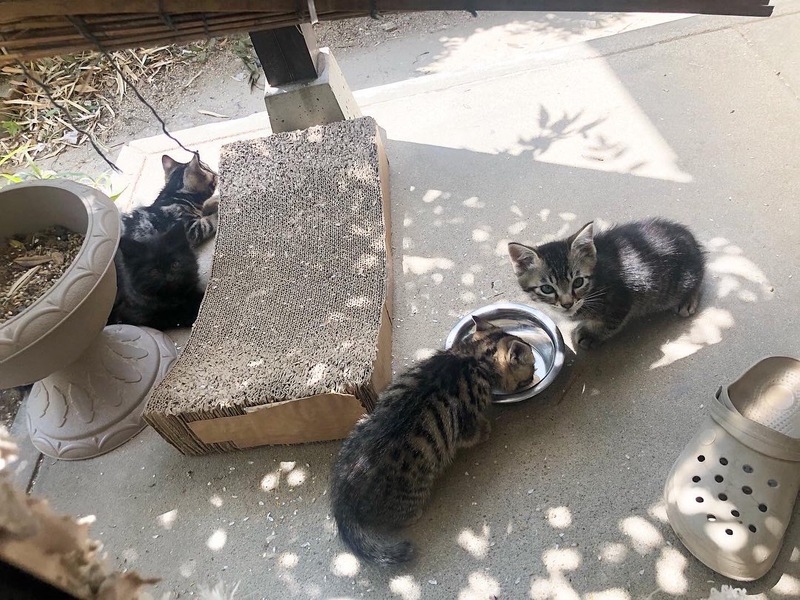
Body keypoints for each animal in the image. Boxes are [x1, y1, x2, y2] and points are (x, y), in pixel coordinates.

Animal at [330, 316, 536, 565]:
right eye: (532, 367)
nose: (535, 373)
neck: (472, 356)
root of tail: (343, 491)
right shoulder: (465, 423)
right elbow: (472, 434)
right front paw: (485, 429)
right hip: (412, 490)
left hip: (359, 425)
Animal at [508, 218, 705, 350]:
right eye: (547, 288)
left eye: (578, 282)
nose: (567, 304)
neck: (594, 286)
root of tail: (689, 238)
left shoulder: (622, 300)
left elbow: (609, 324)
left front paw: (590, 335)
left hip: (679, 283)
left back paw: (688, 301)